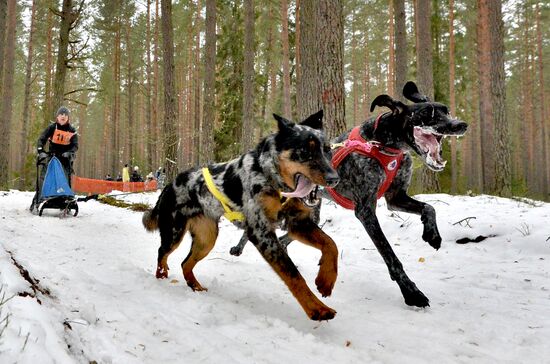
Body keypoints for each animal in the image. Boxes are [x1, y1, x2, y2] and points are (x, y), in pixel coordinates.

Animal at [142, 109, 342, 320]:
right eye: (305, 150)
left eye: (327, 149)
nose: (334, 178)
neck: (271, 178)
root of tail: (169, 186)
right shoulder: (262, 233)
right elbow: (293, 274)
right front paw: (316, 308)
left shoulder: (297, 223)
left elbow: (331, 244)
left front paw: (326, 280)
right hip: (174, 233)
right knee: (162, 253)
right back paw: (162, 276)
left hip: (207, 239)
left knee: (185, 263)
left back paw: (195, 286)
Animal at [231, 82, 468, 308]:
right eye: (428, 113)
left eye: (446, 111)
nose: (461, 125)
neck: (384, 144)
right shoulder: (365, 210)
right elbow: (390, 255)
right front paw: (411, 292)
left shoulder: (396, 198)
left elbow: (429, 207)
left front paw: (432, 234)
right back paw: (238, 247)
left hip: (310, 213)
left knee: (287, 235)